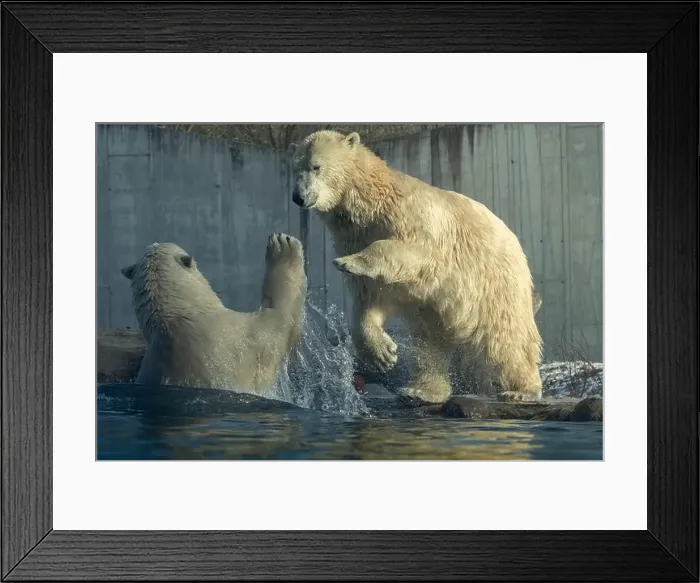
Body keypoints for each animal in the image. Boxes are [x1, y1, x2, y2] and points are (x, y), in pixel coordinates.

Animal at [289, 130, 543, 404]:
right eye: (296, 168)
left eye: (316, 166)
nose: (298, 197)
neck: (372, 201)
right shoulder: (353, 236)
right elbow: (370, 295)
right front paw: (384, 354)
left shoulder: (411, 221)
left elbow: (411, 252)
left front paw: (348, 262)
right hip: (439, 306)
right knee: (430, 341)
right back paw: (420, 391)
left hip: (494, 282)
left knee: (505, 336)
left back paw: (522, 390)